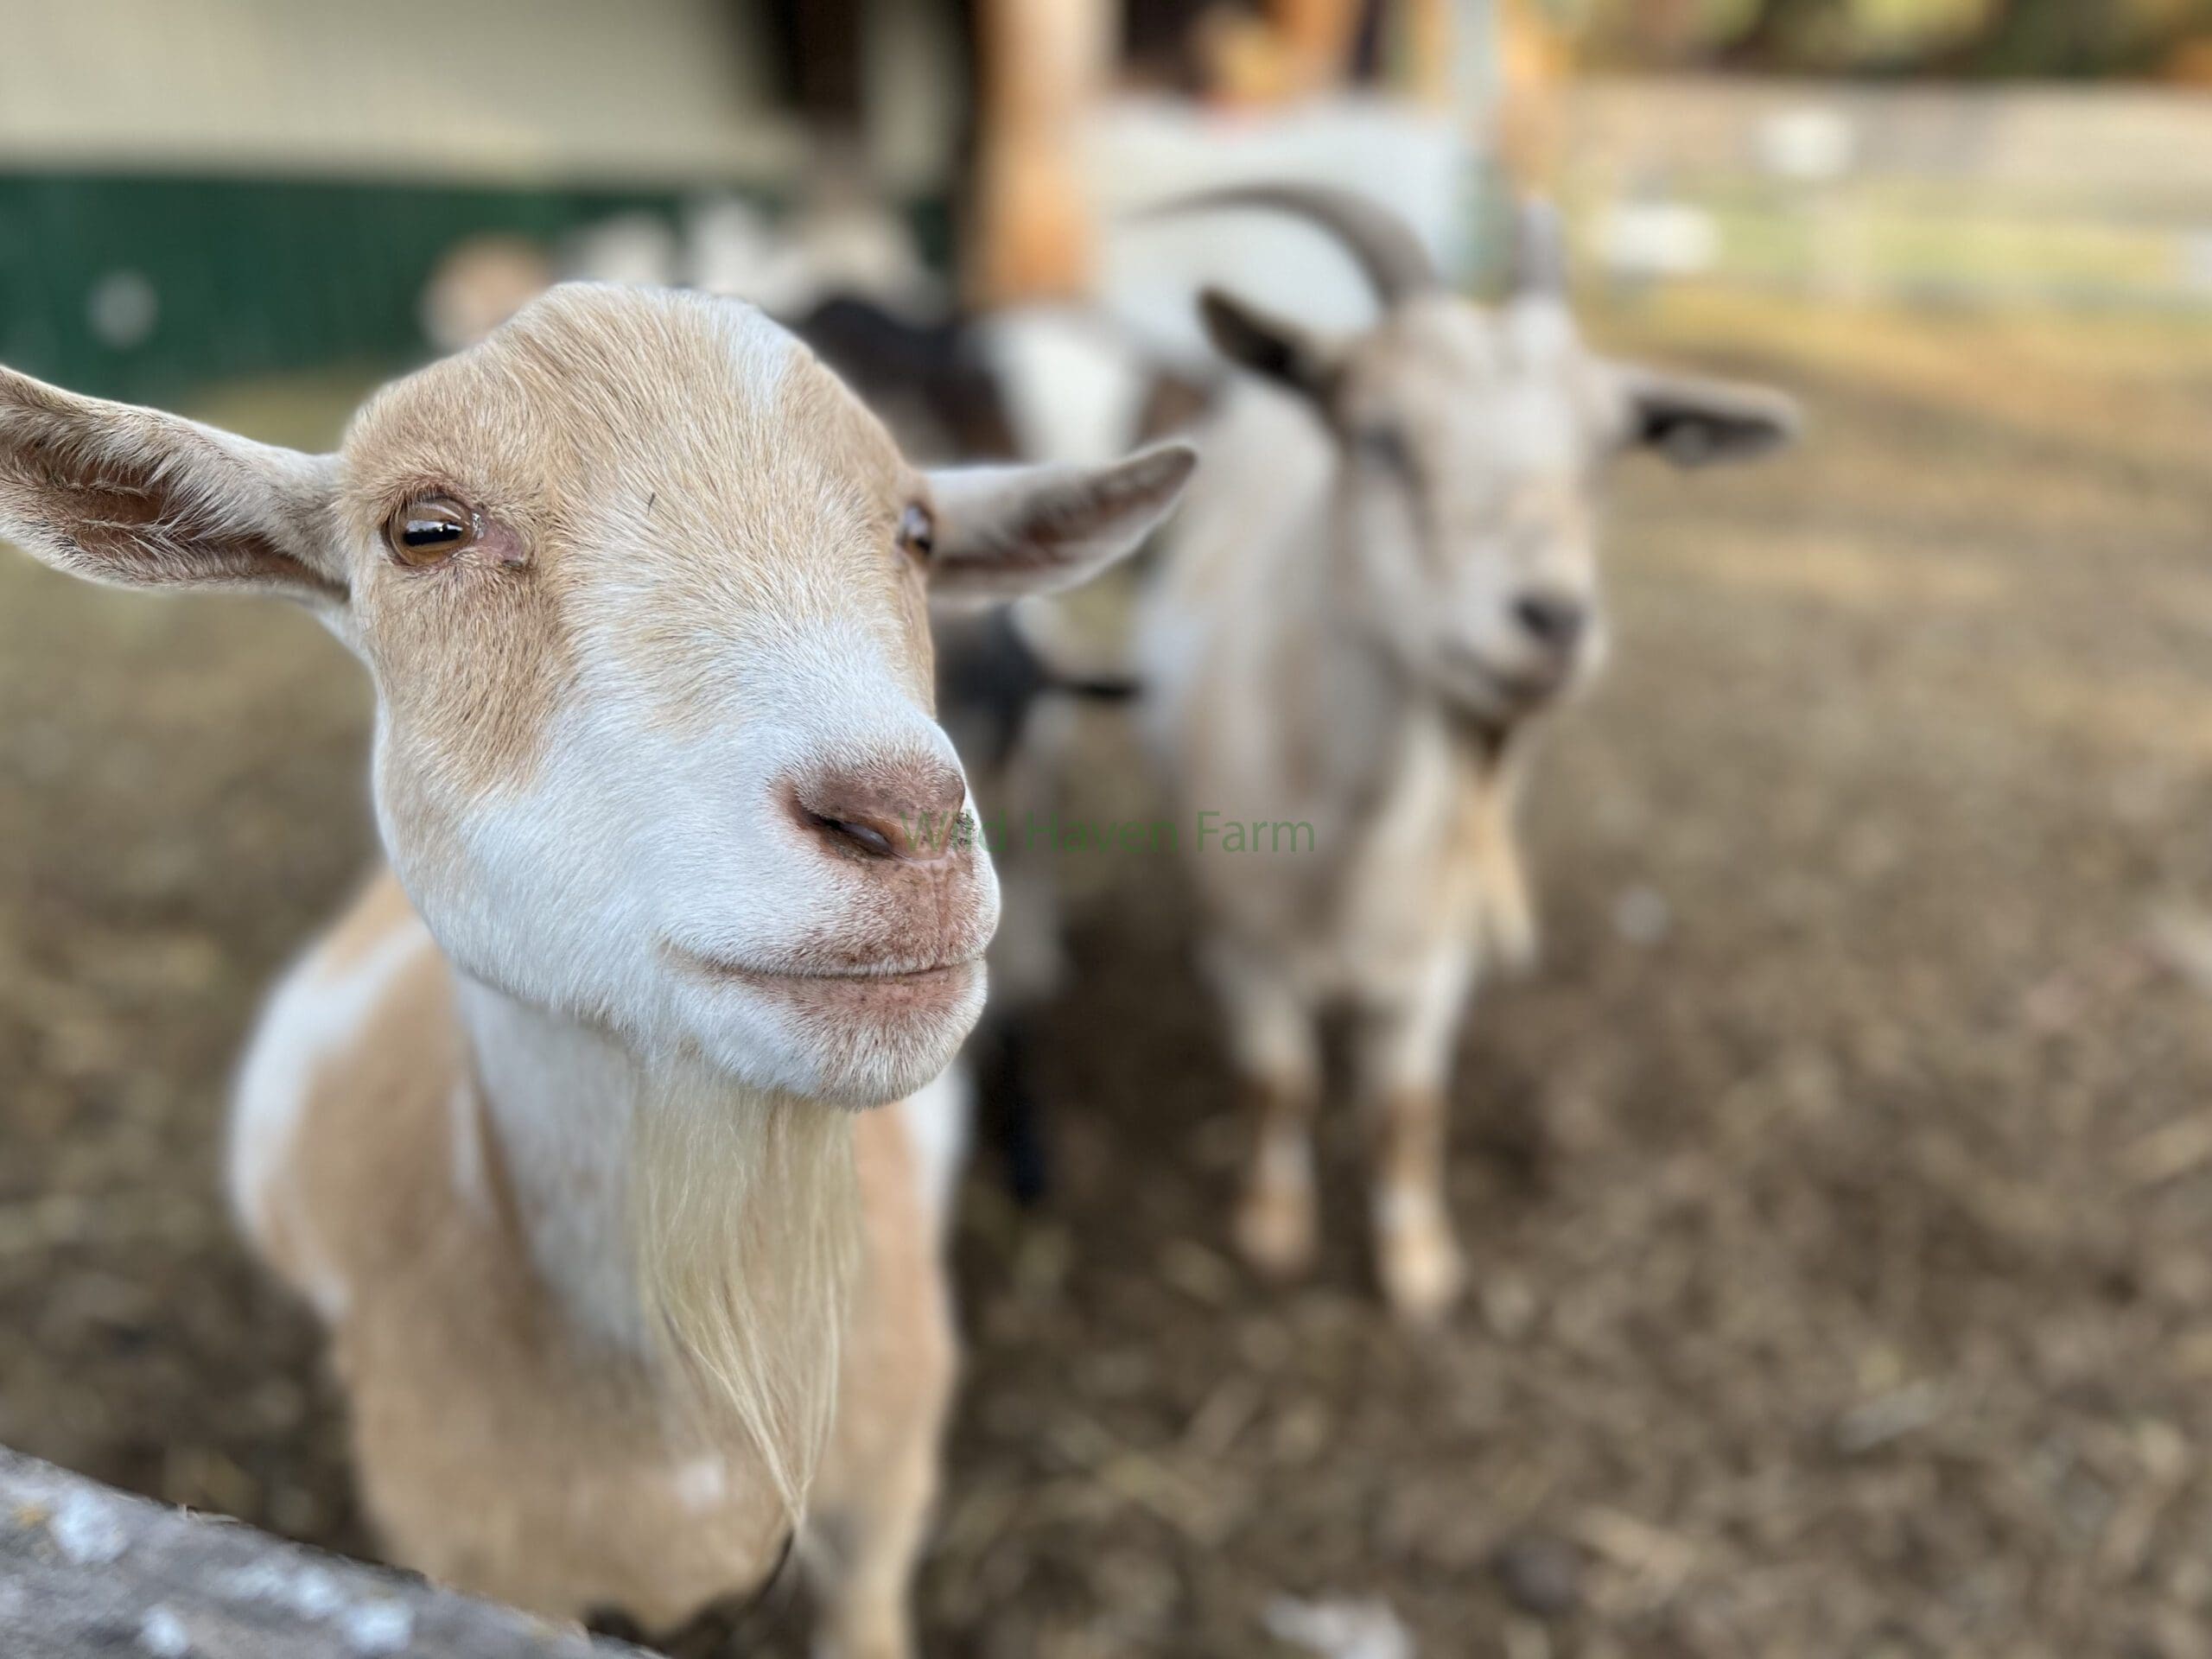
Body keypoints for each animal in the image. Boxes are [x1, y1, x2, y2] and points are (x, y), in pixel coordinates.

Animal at [1135, 187, 1798, 1321]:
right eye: (1379, 436)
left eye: (1606, 453)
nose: (1552, 621)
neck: (1358, 835)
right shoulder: (1251, 944)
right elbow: (1279, 1082)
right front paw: (1272, 1228)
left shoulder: (1437, 957)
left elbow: (1406, 1105)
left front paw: (1417, 1264)